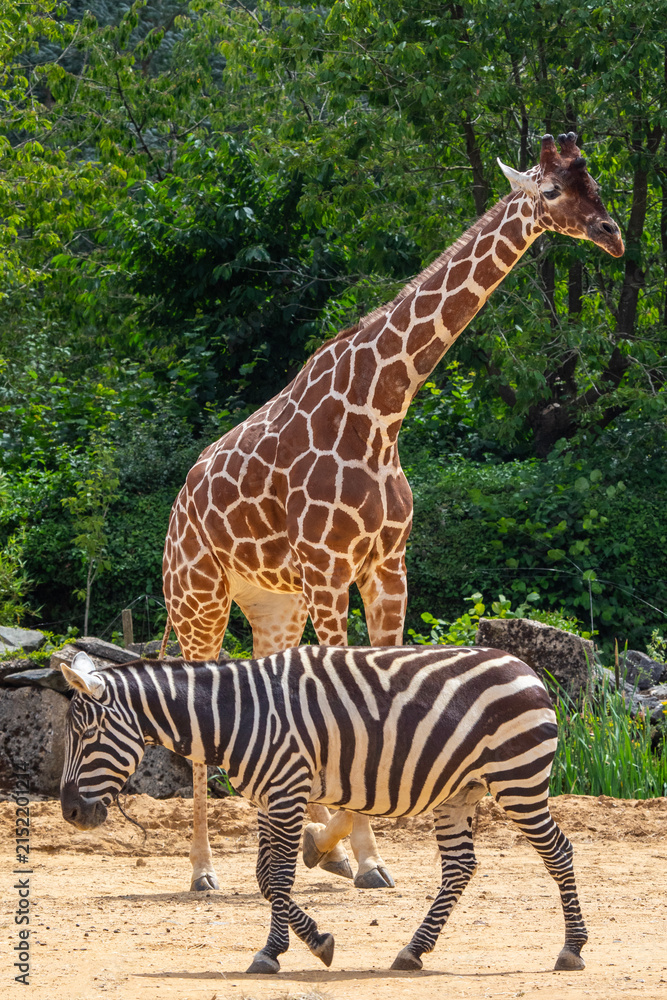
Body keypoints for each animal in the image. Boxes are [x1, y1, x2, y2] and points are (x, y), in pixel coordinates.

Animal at [59, 644, 587, 975]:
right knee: (460, 867)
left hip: (518, 780)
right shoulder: (269, 798)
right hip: (460, 793)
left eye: (87, 734)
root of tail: (525, 667)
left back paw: (572, 948)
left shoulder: (287, 791)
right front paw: (301, 944)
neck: (235, 715)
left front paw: (283, 951)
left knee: (559, 852)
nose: (69, 813)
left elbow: (277, 879)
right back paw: (413, 951)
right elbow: (264, 878)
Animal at [163, 132, 624, 892]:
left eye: (595, 185)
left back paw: (286, 844)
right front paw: (343, 850)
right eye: (554, 192)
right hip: (199, 598)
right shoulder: (329, 567)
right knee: (201, 719)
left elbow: (378, 698)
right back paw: (203, 871)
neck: (382, 409)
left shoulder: (386, 565)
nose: (612, 234)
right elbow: (345, 703)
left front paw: (347, 853)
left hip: (273, 604)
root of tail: (177, 505)